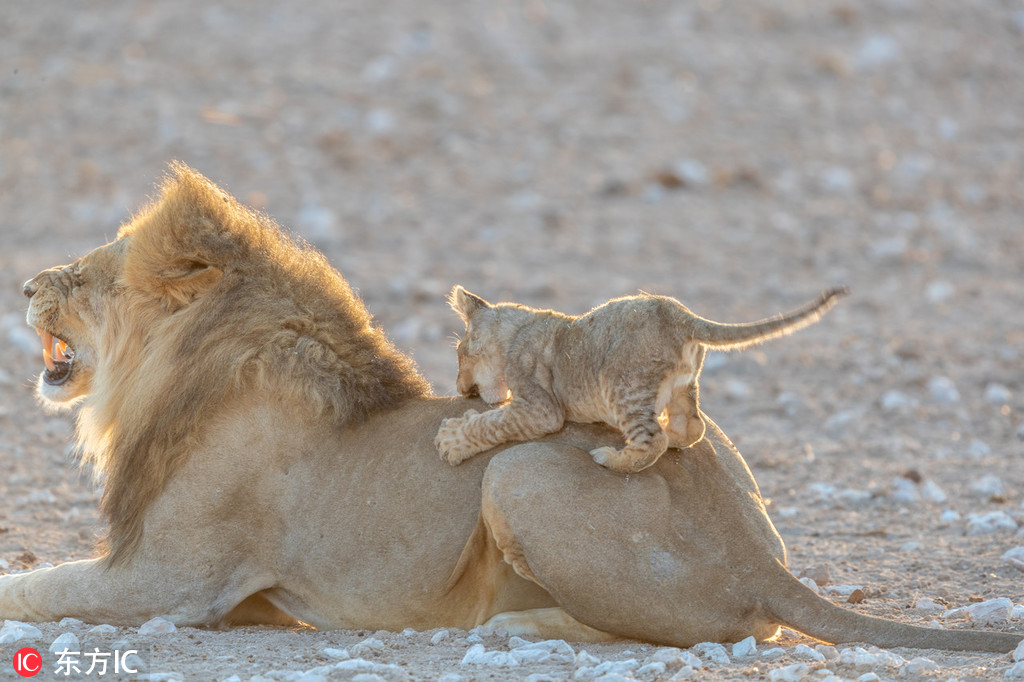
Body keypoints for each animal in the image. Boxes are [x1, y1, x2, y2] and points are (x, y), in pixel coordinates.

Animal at [4, 164, 1019, 655]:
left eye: (84, 277)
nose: (25, 284)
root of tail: (762, 558)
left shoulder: (170, 583)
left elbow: (32, 586)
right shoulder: (221, 595)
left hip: (520, 472)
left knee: (707, 630)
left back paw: (512, 628)